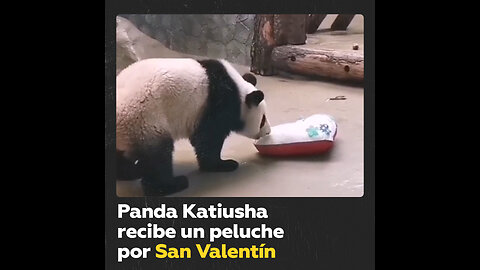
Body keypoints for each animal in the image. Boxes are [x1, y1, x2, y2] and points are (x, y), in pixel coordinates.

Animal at [116, 58, 270, 195]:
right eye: (262, 119)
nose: (268, 132)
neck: (238, 92)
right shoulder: (218, 103)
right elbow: (207, 139)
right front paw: (223, 164)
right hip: (144, 119)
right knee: (158, 157)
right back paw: (172, 184)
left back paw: (131, 172)